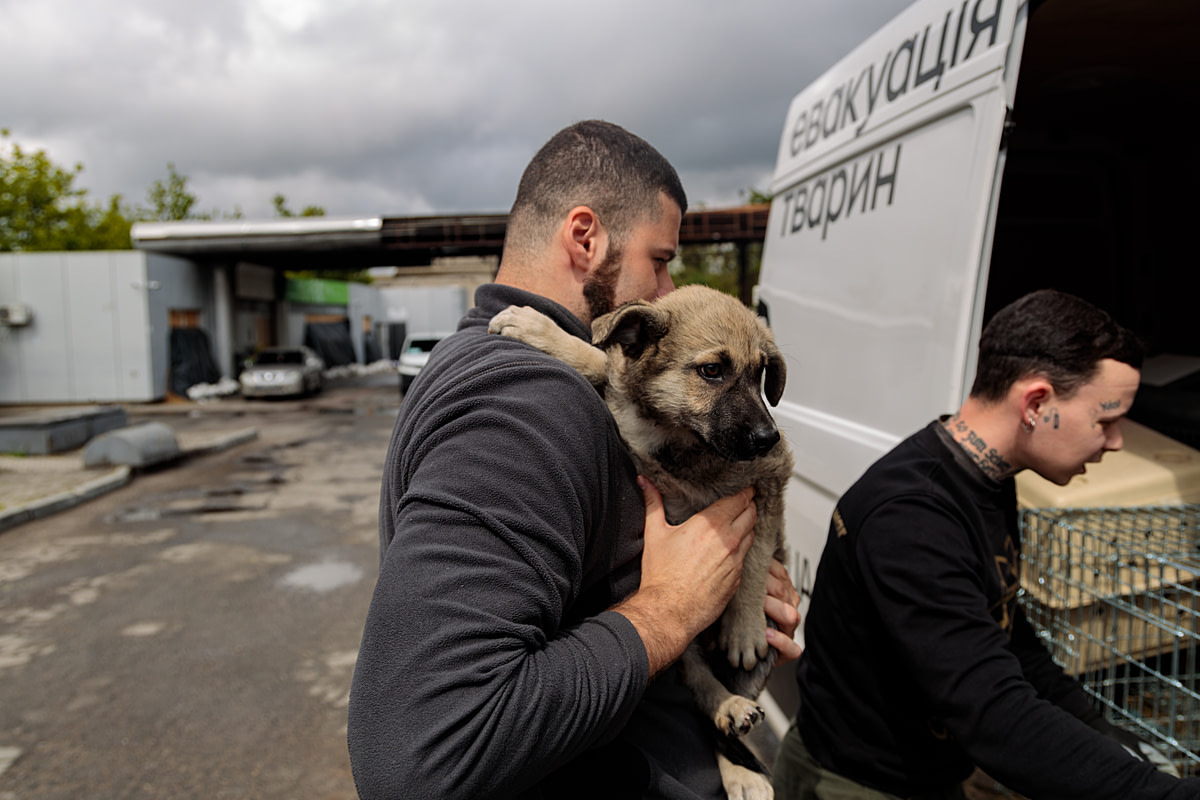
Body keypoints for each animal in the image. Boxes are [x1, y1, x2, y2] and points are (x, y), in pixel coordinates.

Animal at [487, 284, 787, 796]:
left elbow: (756, 556)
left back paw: (740, 757)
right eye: (712, 371)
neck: (676, 433)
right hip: (682, 643)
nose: (769, 437)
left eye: (760, 373)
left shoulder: (771, 479)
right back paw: (726, 711)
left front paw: (745, 626)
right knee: (700, 687)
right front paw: (543, 332)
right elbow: (601, 360)